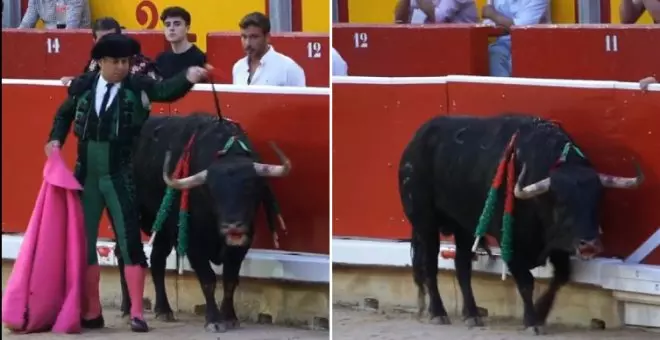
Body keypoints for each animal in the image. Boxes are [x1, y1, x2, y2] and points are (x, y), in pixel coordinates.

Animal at [112, 113, 290, 330]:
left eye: (250, 188)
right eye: (212, 192)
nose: (232, 226)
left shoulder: (242, 243)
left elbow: (230, 279)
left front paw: (230, 317)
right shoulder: (193, 244)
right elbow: (208, 279)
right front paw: (214, 320)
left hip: (163, 229)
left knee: (157, 259)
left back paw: (164, 310)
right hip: (121, 214)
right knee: (124, 255)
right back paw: (127, 309)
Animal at [398, 115, 644, 334]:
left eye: (597, 199)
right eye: (562, 203)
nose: (590, 245)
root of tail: (415, 140)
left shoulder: (557, 242)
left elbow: (561, 276)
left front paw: (541, 312)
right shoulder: (511, 243)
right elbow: (526, 281)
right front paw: (532, 321)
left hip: (464, 227)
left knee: (462, 265)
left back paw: (472, 315)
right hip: (425, 223)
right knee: (430, 265)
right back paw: (438, 313)